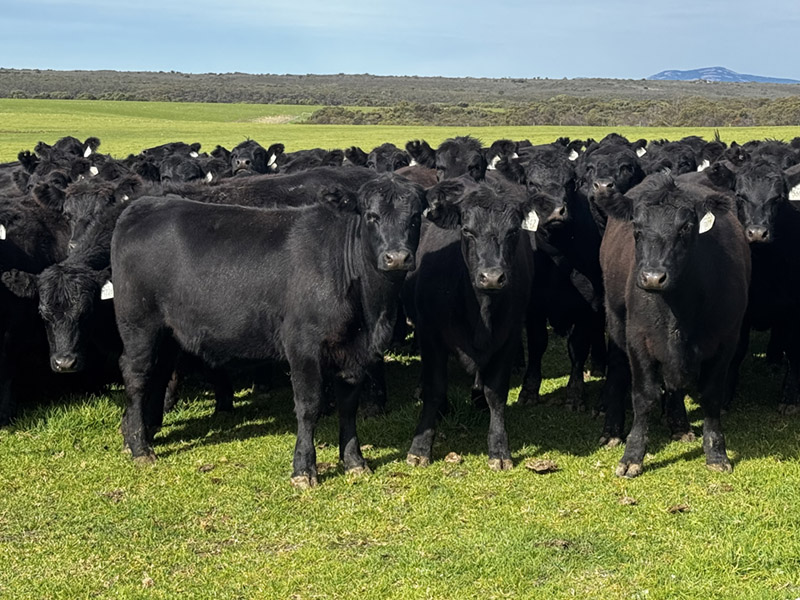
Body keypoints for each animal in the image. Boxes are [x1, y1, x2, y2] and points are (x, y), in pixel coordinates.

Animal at [110, 174, 426, 487]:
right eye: (372, 216)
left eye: (415, 217)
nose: (397, 257)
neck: (369, 308)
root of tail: (144, 205)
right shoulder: (302, 346)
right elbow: (309, 406)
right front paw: (303, 469)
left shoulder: (353, 351)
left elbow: (348, 406)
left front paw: (354, 462)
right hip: (138, 323)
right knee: (136, 376)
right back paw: (140, 447)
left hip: (167, 332)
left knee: (158, 371)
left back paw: (134, 436)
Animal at [405, 176, 536, 469]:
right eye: (467, 231)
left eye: (513, 231)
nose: (492, 277)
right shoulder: (430, 334)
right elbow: (434, 389)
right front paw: (420, 448)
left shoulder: (508, 337)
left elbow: (495, 393)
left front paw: (499, 449)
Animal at [598, 173, 750, 476]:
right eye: (637, 228)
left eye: (686, 227)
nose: (652, 277)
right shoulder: (638, 338)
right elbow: (644, 397)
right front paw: (632, 455)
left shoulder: (727, 338)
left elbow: (711, 395)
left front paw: (716, 453)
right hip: (616, 319)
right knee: (619, 370)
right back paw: (612, 431)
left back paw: (679, 424)